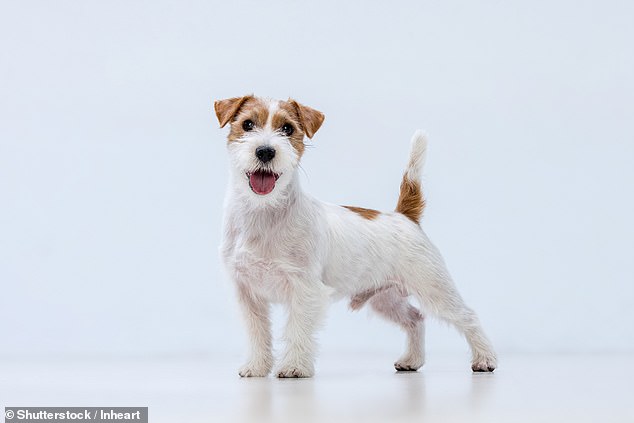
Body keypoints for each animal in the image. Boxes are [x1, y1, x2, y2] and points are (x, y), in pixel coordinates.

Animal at [215, 95, 496, 378]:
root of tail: (405, 216)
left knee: (468, 316)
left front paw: (294, 367)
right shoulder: (247, 294)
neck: (262, 213)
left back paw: (485, 359)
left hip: (435, 289)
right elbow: (257, 332)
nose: (265, 151)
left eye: (287, 129)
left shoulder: (305, 290)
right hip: (386, 298)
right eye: (247, 124)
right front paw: (257, 366)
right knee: (415, 318)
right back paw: (411, 360)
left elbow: (298, 330)